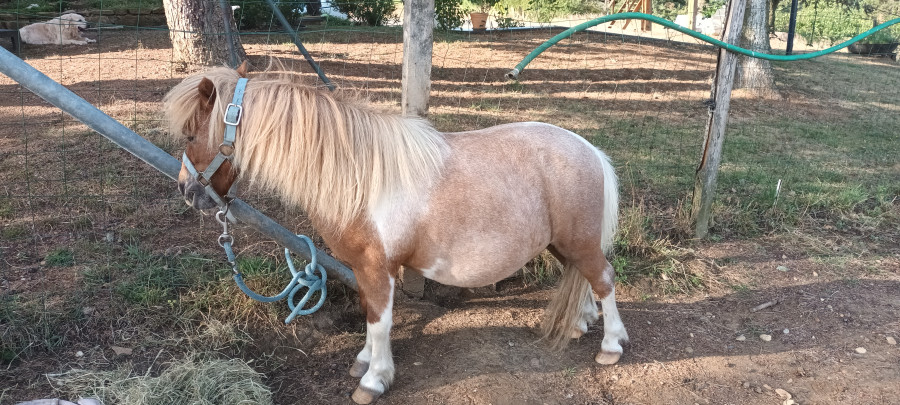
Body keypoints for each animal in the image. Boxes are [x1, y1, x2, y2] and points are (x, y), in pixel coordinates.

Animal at [163, 64, 624, 402]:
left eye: (191, 134)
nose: (187, 190)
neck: (358, 178)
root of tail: (588, 148)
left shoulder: (376, 266)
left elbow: (381, 321)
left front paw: (374, 380)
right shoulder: (362, 269)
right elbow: (369, 313)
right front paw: (364, 361)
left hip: (578, 242)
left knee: (603, 278)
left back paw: (611, 346)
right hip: (563, 244)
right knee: (583, 276)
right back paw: (580, 324)